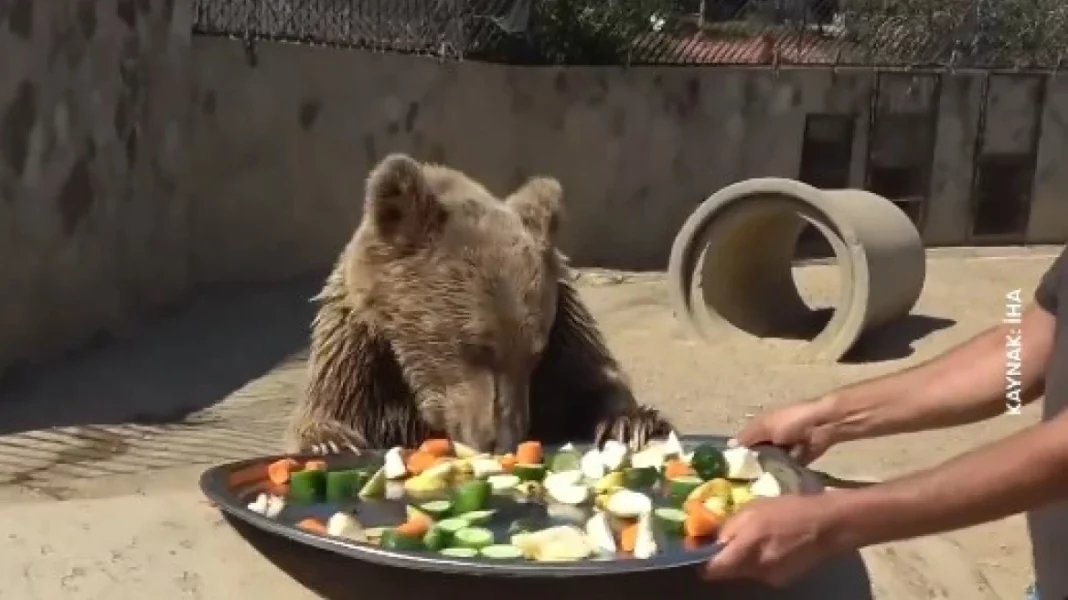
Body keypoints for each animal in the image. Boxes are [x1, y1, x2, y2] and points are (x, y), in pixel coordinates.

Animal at [286, 153, 673, 455]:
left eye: (535, 354)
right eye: (475, 346)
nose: (500, 440)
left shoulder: (563, 330)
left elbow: (593, 377)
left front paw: (630, 423)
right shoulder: (361, 354)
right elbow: (334, 410)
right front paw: (330, 441)